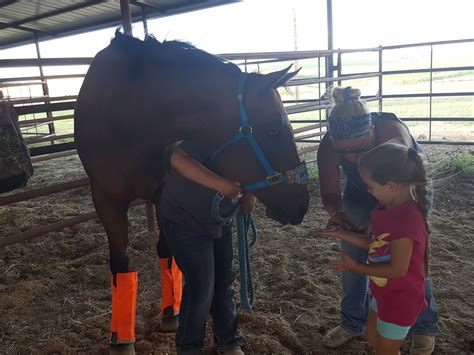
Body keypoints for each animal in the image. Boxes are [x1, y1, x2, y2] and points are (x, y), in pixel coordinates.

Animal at [74, 32, 310, 354]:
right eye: (273, 129)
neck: (128, 111)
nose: (302, 204)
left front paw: (170, 313)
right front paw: (121, 340)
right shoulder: (105, 199)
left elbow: (166, 251)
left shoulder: (162, 191)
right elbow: (121, 265)